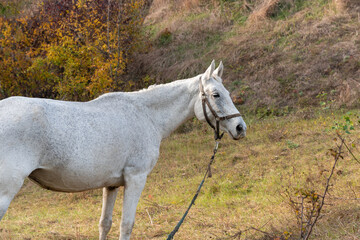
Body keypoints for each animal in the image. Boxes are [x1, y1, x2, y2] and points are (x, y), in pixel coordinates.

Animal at [0, 60, 245, 240]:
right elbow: (126, 224)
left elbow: (105, 224)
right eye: (216, 95)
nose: (240, 127)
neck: (146, 115)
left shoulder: (111, 185)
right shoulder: (136, 178)